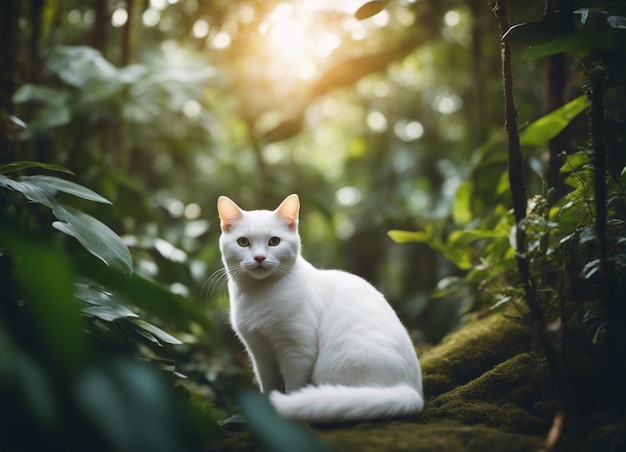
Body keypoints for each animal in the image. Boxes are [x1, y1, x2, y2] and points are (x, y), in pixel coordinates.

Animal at [217, 194, 422, 424]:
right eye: (243, 242)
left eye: (274, 241)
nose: (259, 258)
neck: (257, 295)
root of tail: (411, 391)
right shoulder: (260, 354)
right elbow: (268, 385)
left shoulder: (297, 351)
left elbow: (294, 388)